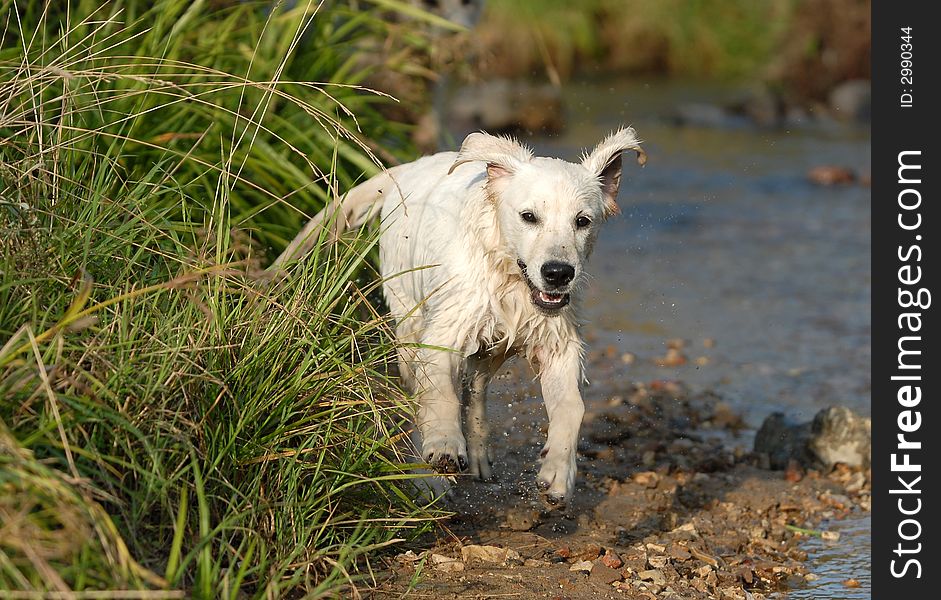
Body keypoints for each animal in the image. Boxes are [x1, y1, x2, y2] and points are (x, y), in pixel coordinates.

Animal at [268, 129, 644, 504]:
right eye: (529, 216)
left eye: (582, 221)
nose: (558, 273)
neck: (508, 279)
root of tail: (407, 169)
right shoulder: (443, 332)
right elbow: (439, 394)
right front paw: (445, 446)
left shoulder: (557, 342)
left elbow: (572, 407)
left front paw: (558, 473)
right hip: (408, 317)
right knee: (418, 396)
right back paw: (426, 477)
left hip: (488, 350)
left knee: (475, 391)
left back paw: (478, 457)